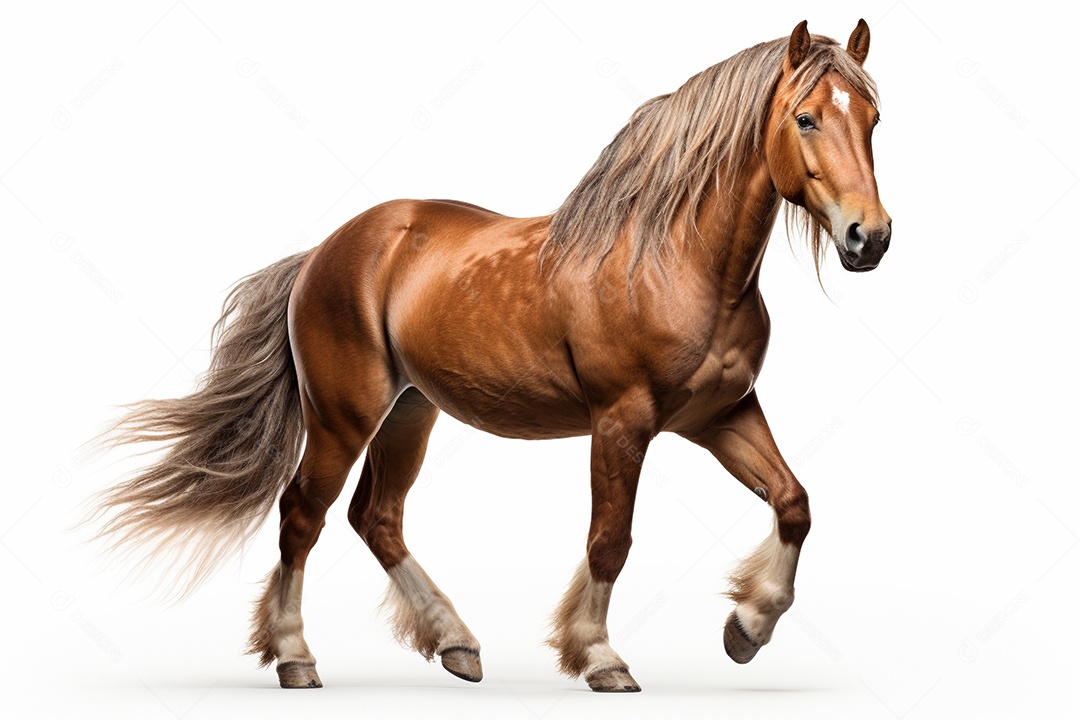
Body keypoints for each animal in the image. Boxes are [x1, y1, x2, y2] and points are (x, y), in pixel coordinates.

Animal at [93, 20, 890, 692]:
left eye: (873, 118)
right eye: (806, 118)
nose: (869, 237)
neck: (673, 262)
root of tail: (324, 252)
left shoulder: (719, 415)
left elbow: (794, 503)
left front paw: (746, 627)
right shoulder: (622, 422)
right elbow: (610, 539)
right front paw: (600, 657)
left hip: (409, 414)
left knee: (376, 518)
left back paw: (456, 644)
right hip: (344, 418)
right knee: (302, 514)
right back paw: (296, 658)